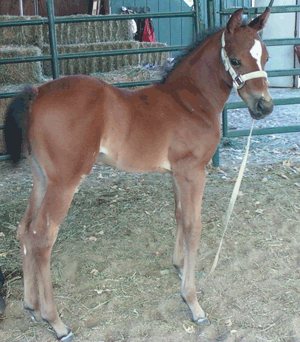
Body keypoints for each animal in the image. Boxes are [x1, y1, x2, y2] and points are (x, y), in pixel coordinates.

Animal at [3, 7, 274, 340]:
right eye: (235, 60)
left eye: (266, 58)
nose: (264, 107)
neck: (190, 101)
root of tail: (37, 92)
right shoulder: (193, 171)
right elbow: (193, 227)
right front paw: (193, 303)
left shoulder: (177, 172)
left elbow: (179, 216)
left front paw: (179, 267)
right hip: (64, 183)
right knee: (42, 237)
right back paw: (56, 321)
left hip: (41, 178)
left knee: (25, 229)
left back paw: (31, 305)